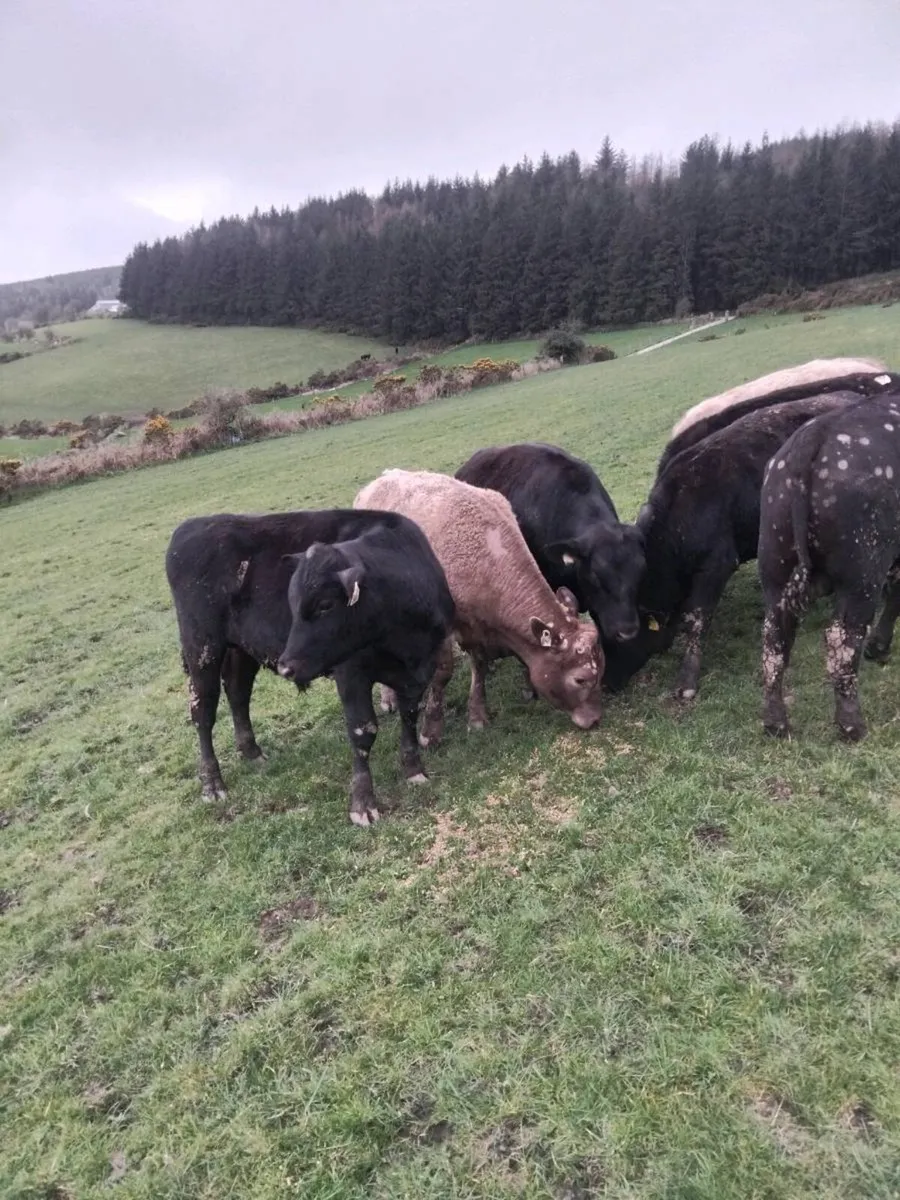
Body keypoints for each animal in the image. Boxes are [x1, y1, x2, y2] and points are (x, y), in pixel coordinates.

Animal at [165, 509, 455, 826]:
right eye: (292, 603)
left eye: (325, 605)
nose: (286, 667)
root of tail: (192, 525)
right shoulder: (351, 674)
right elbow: (362, 731)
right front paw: (363, 803)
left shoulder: (420, 670)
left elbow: (409, 715)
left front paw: (414, 770)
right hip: (202, 648)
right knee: (203, 712)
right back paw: (212, 784)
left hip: (240, 649)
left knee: (238, 694)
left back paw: (251, 752)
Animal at [354, 469, 604, 743]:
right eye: (580, 679)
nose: (595, 719)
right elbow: (443, 673)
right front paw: (431, 730)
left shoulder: (477, 627)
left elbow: (480, 666)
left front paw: (477, 715)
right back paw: (389, 698)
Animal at [759, 388, 900, 741]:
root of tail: (813, 435)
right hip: (862, 576)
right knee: (842, 640)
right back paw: (851, 725)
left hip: (776, 572)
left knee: (774, 640)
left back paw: (775, 722)